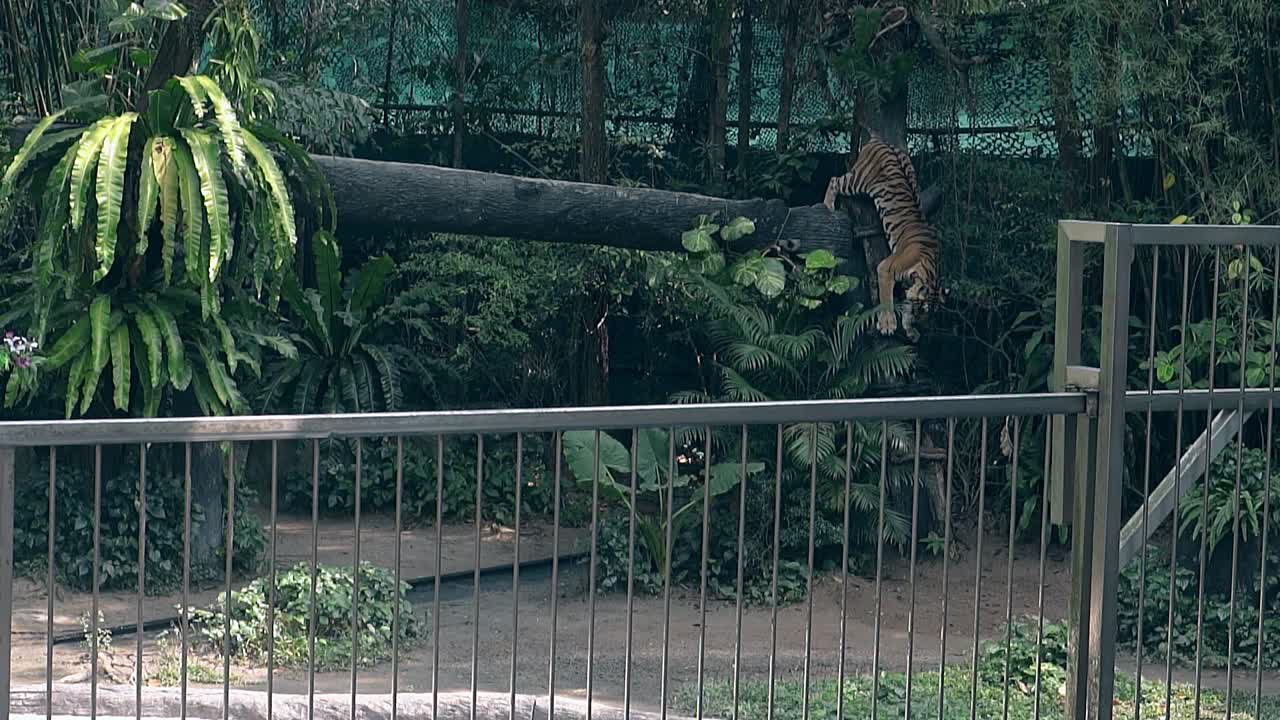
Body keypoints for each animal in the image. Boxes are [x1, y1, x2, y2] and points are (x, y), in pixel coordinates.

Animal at [822, 134, 941, 340]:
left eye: (928, 313)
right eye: (921, 309)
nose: (926, 327)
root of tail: (880, 141)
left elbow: (905, 306)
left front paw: (910, 330)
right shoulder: (886, 267)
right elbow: (886, 299)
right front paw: (888, 325)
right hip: (857, 180)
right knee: (835, 180)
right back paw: (827, 205)